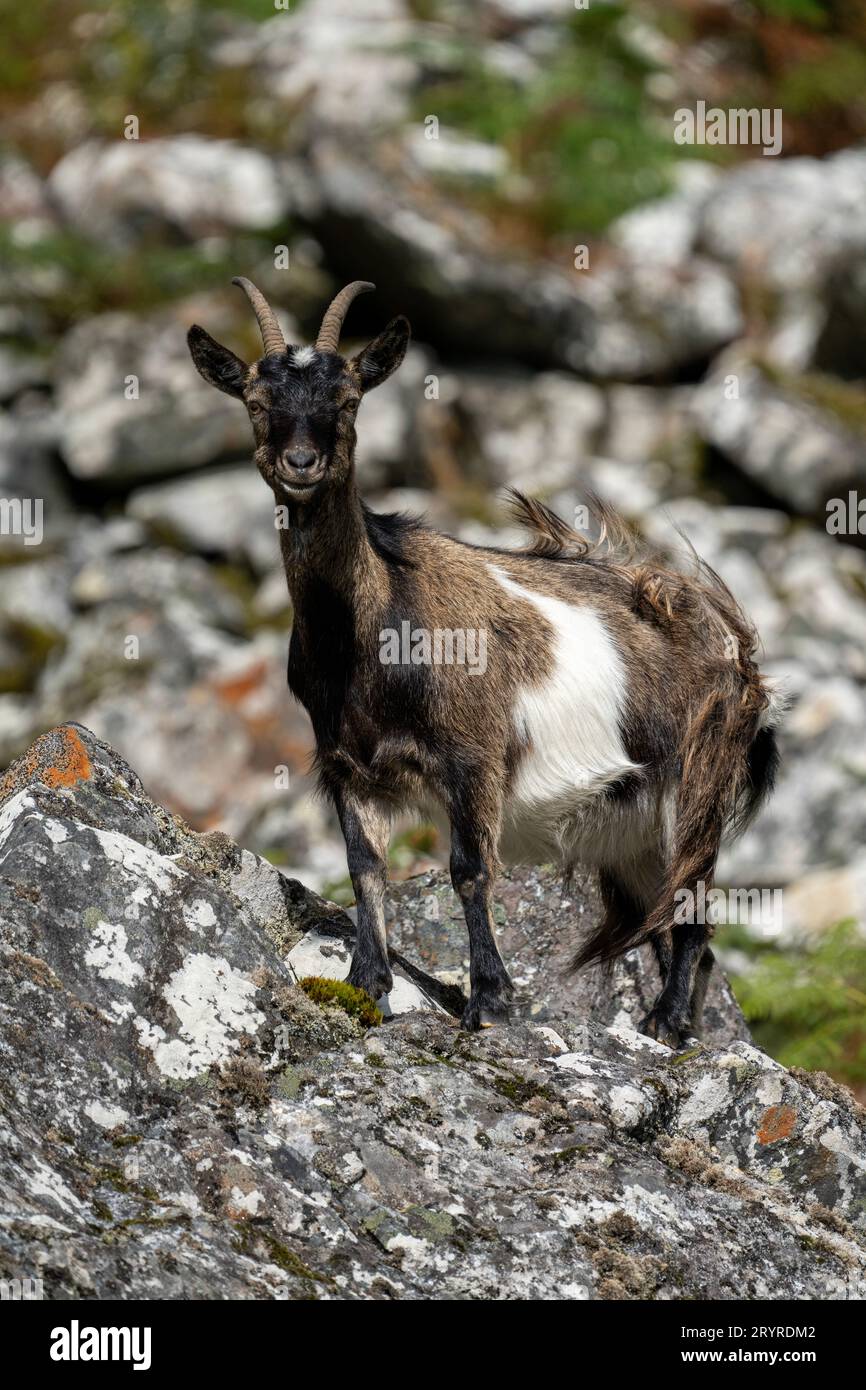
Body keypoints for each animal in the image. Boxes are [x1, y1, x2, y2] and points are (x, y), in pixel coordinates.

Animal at [189, 279, 783, 1045]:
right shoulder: (350, 768)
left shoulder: (473, 757)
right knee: (665, 915)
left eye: (348, 400)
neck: (375, 628)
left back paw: (670, 1024)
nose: (301, 465)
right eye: (257, 402)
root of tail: (738, 651)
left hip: (699, 781)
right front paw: (367, 985)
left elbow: (469, 870)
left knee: (692, 906)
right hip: (630, 825)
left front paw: (491, 1001)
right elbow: (365, 869)